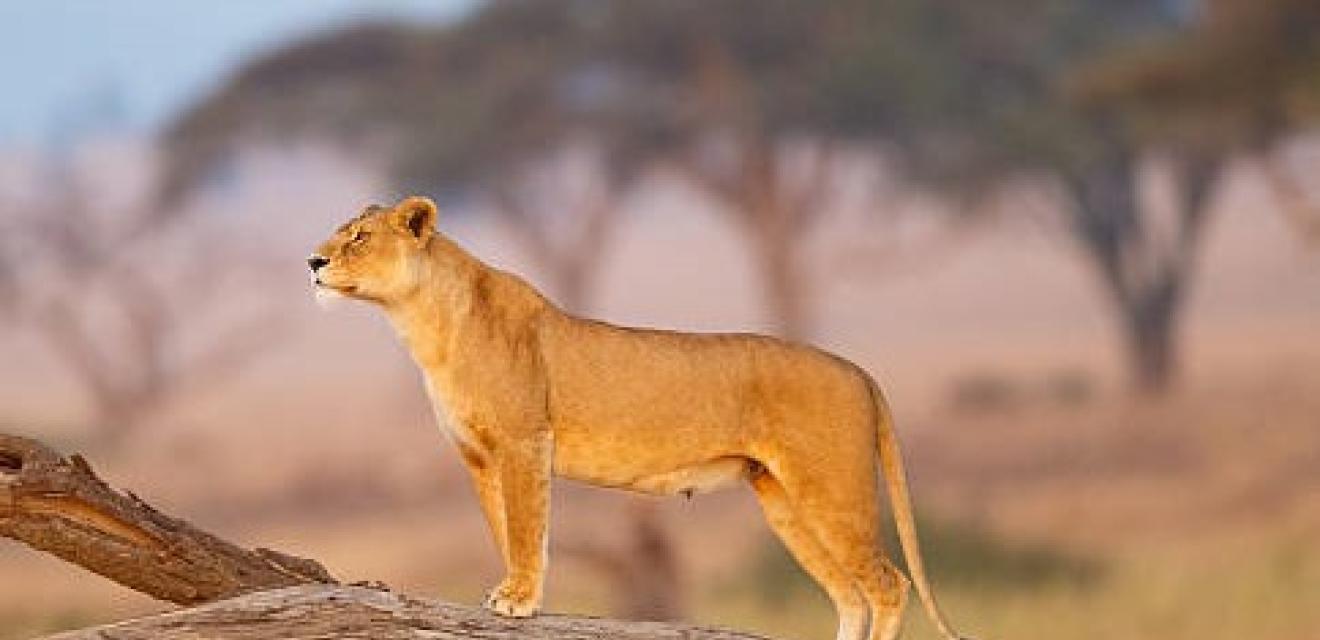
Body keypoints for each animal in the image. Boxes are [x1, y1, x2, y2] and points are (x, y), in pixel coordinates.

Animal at [309, 196, 970, 640]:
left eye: (360, 237)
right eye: (339, 234)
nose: (313, 262)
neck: (424, 324)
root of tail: (859, 369)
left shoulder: (525, 442)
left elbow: (527, 528)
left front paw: (519, 601)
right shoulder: (477, 456)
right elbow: (502, 528)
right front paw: (505, 592)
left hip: (832, 488)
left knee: (886, 583)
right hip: (782, 500)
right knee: (849, 593)